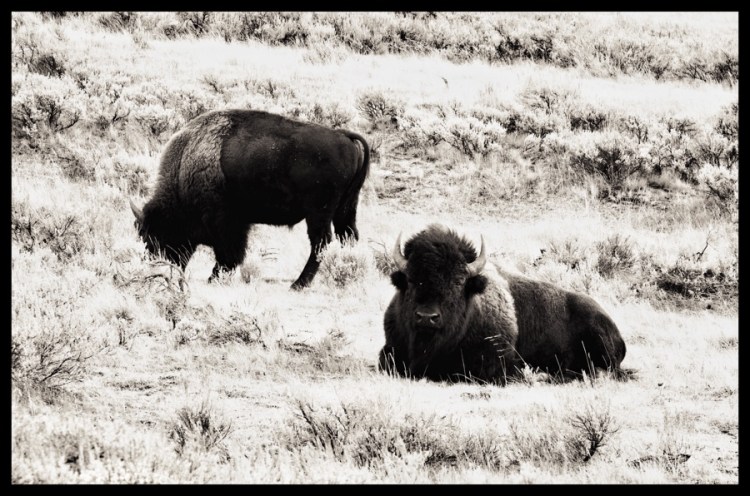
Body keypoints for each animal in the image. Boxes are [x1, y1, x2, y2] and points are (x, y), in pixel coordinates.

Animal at [129, 109, 370, 289]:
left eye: (156, 235)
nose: (158, 269)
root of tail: (344, 136)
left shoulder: (226, 225)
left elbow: (229, 254)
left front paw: (214, 278)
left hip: (319, 212)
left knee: (321, 242)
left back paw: (298, 284)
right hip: (345, 208)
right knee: (347, 236)